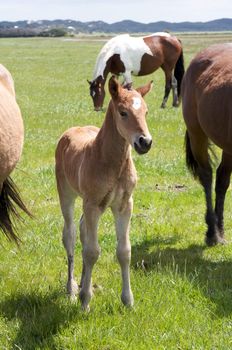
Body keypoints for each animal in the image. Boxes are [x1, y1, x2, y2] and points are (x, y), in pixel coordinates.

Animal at [54, 76, 152, 308]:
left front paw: (128, 301)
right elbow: (92, 251)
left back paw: (83, 283)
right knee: (70, 235)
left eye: (146, 112)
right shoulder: (93, 205)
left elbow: (124, 251)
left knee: (82, 231)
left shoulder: (124, 205)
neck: (111, 163)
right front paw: (84, 302)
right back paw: (72, 289)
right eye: (123, 112)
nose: (145, 142)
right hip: (67, 194)